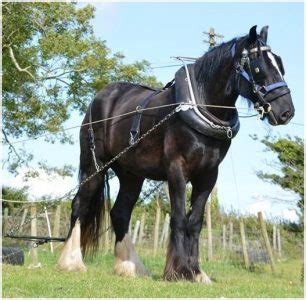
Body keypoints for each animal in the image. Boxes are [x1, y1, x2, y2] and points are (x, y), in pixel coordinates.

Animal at [57, 24, 294, 282]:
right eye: (258, 67)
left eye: (281, 65)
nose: (286, 112)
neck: (201, 105)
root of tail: (101, 97)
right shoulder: (177, 170)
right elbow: (179, 218)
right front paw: (179, 271)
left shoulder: (208, 176)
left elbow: (195, 222)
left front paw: (196, 272)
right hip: (94, 163)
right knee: (80, 204)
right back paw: (71, 262)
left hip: (132, 174)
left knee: (120, 212)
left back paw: (130, 267)